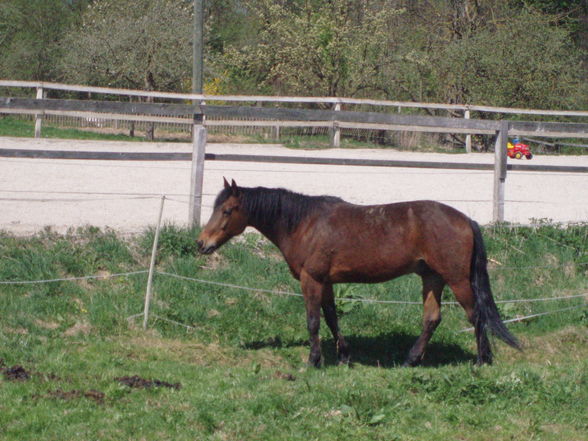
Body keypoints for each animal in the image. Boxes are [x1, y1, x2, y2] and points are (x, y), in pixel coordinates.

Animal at [196, 177, 520, 366]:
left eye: (227, 211)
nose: (202, 243)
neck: (304, 224)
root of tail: (465, 219)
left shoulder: (311, 280)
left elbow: (313, 321)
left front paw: (314, 361)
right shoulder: (326, 282)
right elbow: (331, 318)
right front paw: (343, 356)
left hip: (456, 279)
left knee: (476, 315)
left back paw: (482, 360)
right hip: (432, 278)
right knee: (432, 319)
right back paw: (411, 360)